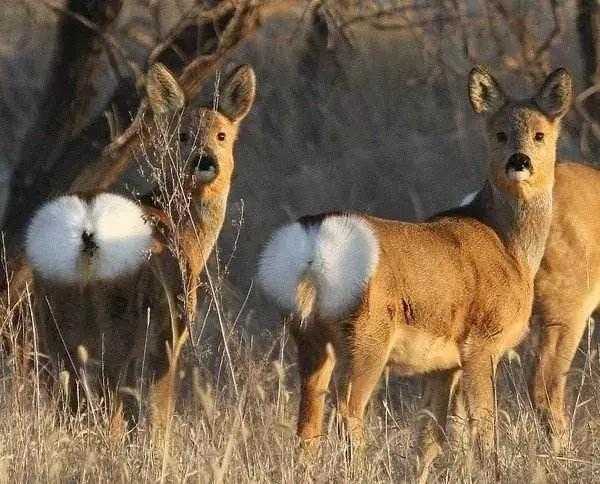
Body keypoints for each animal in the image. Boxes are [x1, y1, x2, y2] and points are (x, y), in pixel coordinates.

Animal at [24, 62, 255, 430]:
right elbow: (159, 407)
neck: (186, 233)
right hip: (117, 318)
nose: (204, 161)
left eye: (222, 135)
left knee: (68, 394)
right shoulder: (170, 325)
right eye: (182, 135)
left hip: (52, 314)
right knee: (107, 398)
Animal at [256, 66, 572, 478]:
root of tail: (313, 241)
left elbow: (429, 438)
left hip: (308, 333)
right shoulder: (482, 342)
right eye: (499, 133)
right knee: (347, 411)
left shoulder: (443, 365)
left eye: (540, 134)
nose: (519, 161)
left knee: (308, 419)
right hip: (367, 334)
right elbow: (483, 427)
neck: (510, 247)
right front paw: (493, 470)